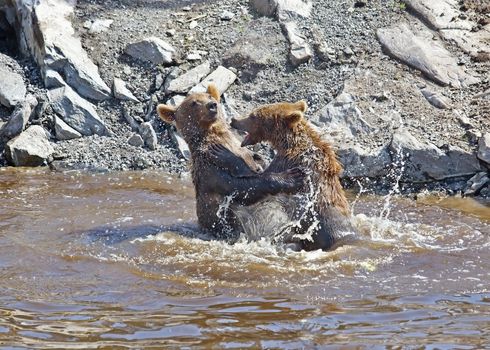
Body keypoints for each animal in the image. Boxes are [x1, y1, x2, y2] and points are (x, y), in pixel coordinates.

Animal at [157, 83, 304, 239]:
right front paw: (291, 177)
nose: (212, 105)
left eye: (209, 96)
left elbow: (256, 165)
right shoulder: (210, 168)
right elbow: (241, 188)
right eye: (194, 103)